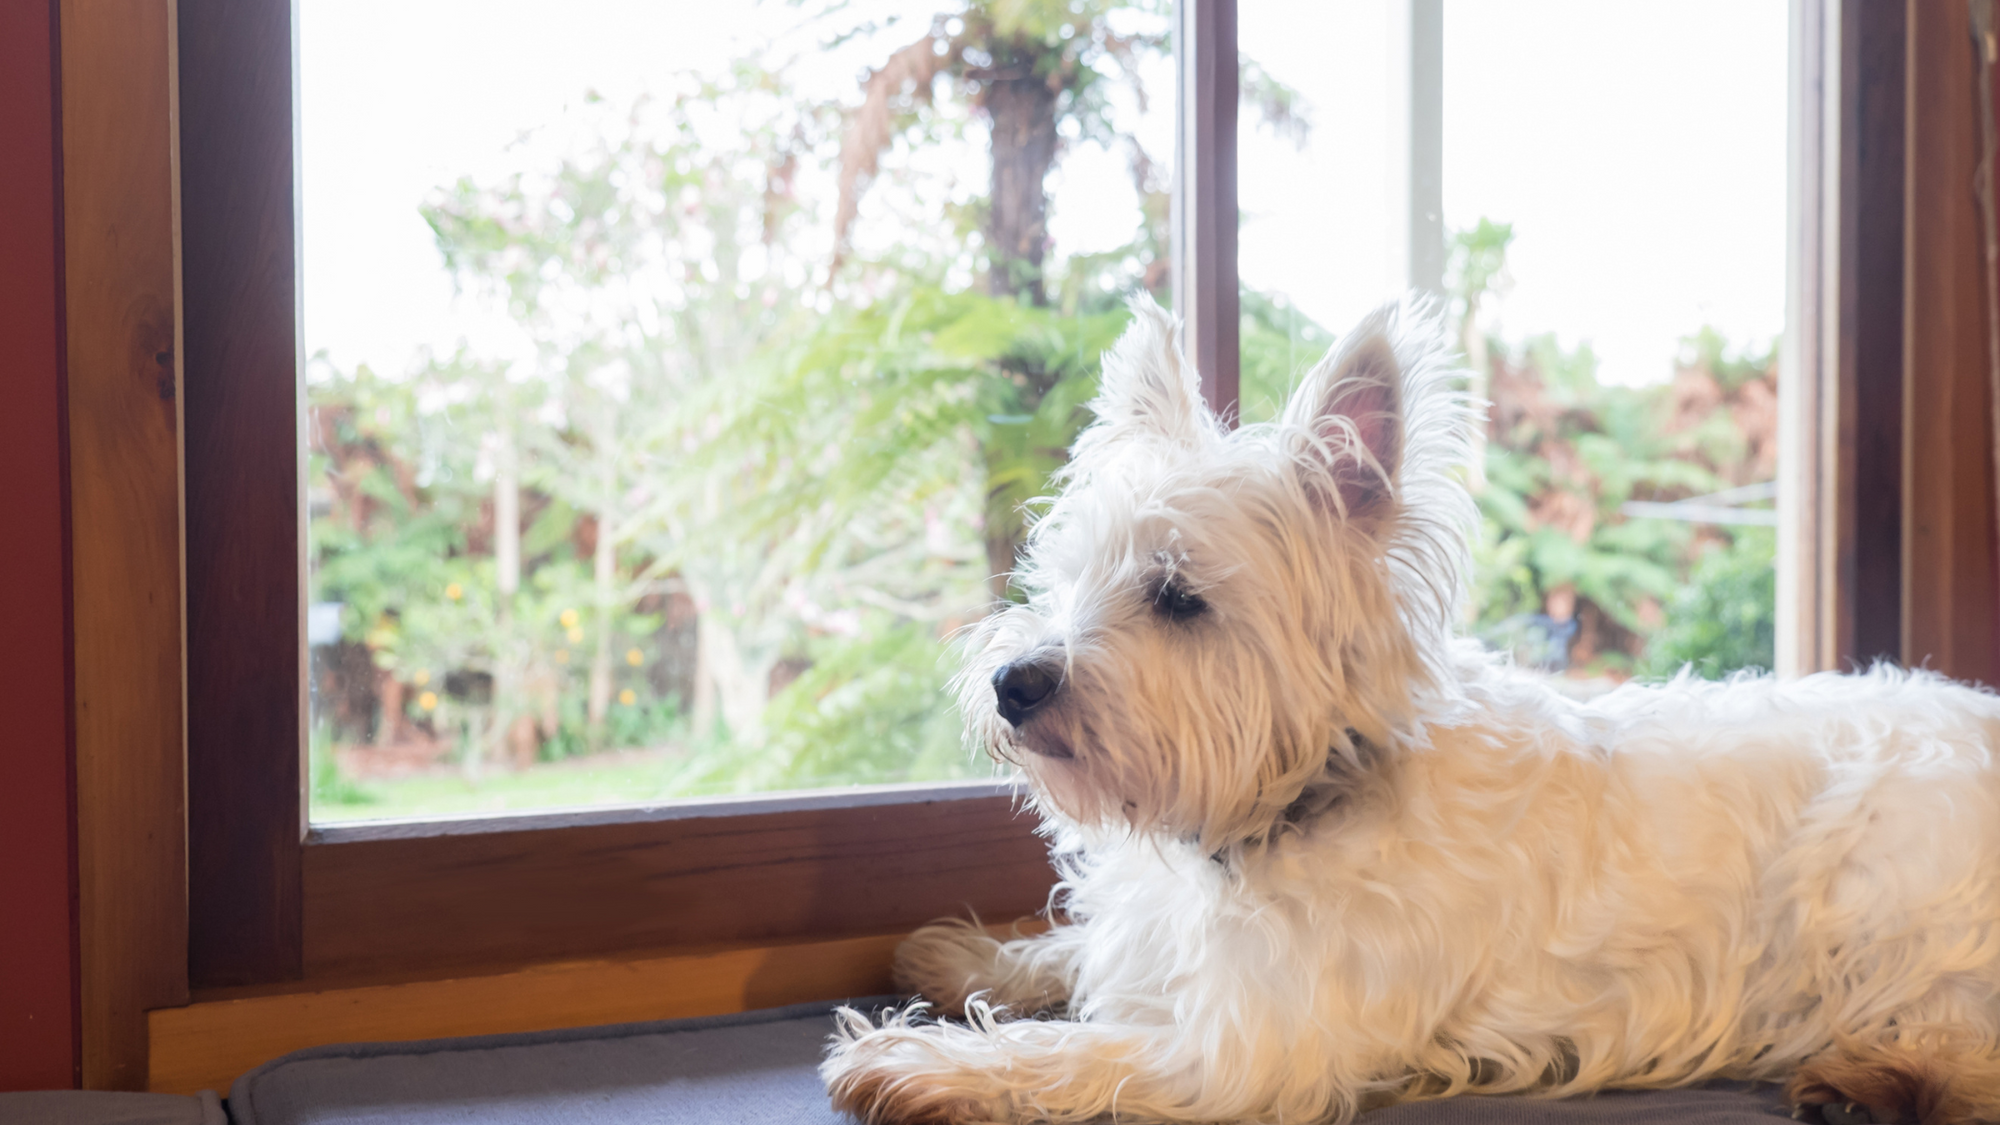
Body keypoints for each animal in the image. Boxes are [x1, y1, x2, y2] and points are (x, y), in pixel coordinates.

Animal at [820, 298, 2000, 1120]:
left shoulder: (1245, 1046)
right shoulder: (1170, 956)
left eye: (1177, 595)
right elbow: (1073, 951)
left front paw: (911, 1056)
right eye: (1060, 575)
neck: (1302, 797)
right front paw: (966, 958)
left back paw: (1879, 1071)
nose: (1014, 682)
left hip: (1875, 879)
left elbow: (1078, 1051)